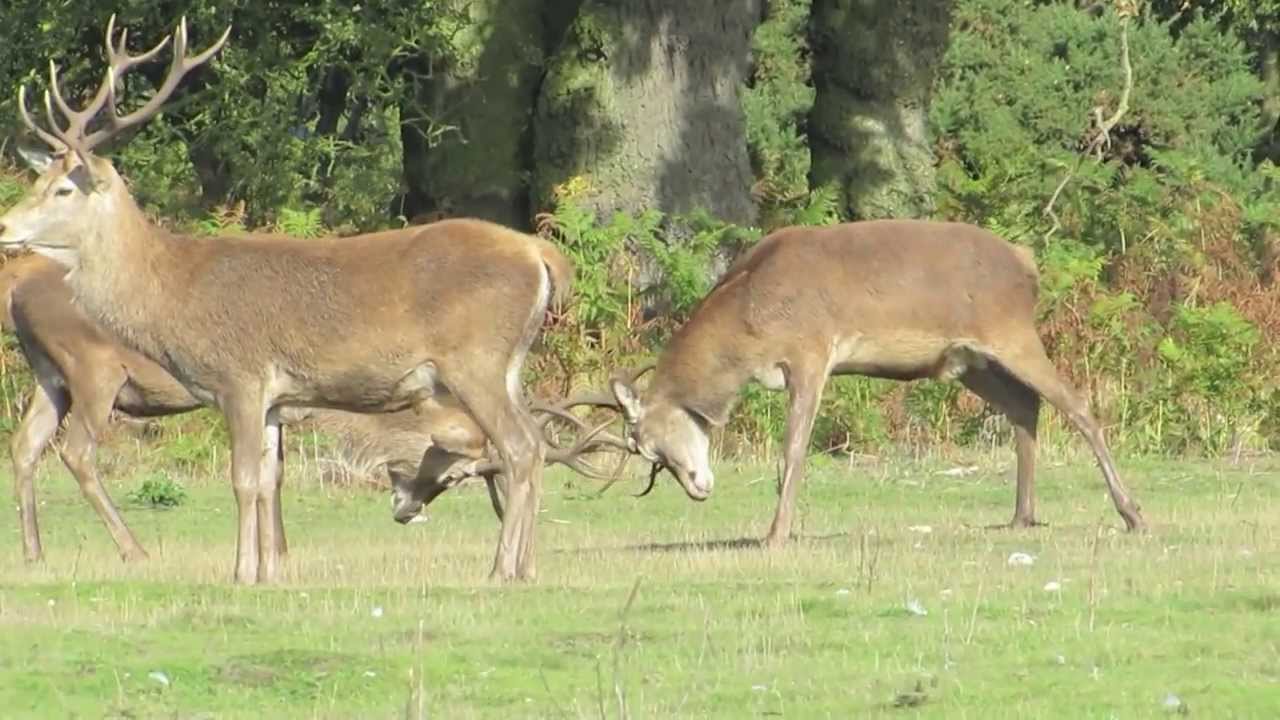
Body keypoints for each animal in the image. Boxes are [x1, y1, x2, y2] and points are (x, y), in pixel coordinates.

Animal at [0, 15, 570, 584]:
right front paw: (269, 573)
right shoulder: (277, 399)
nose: (5, 225)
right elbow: (269, 479)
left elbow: (243, 479)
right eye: (38, 178)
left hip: (475, 360)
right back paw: (528, 568)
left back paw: (502, 569)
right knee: (537, 442)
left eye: (63, 190)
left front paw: (241, 573)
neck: (173, 293)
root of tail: (539, 253)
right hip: (509, 364)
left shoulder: (241, 377)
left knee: (519, 446)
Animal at [601, 219, 1152, 538]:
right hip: (968, 359)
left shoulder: (811, 351)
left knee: (1077, 405)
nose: (696, 488)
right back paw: (1021, 516)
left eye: (646, 443)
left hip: (1010, 331)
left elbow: (793, 450)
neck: (750, 322)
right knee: (1024, 405)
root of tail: (1027, 264)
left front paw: (776, 533)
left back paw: (1133, 514)